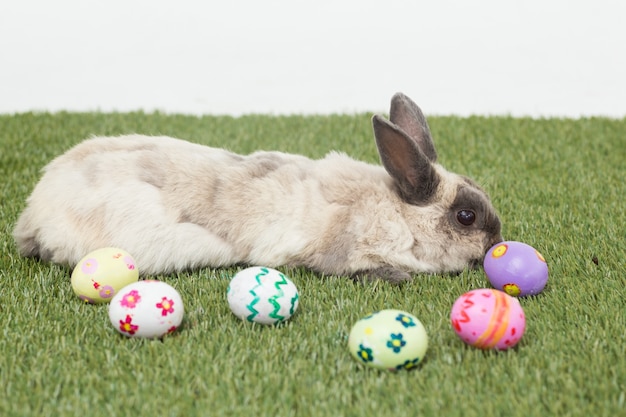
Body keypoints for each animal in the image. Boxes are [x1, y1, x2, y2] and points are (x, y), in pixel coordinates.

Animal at [14, 93, 500, 282]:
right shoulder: (343, 254)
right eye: (466, 216)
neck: (397, 210)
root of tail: (34, 217)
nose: (498, 242)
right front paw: (396, 276)